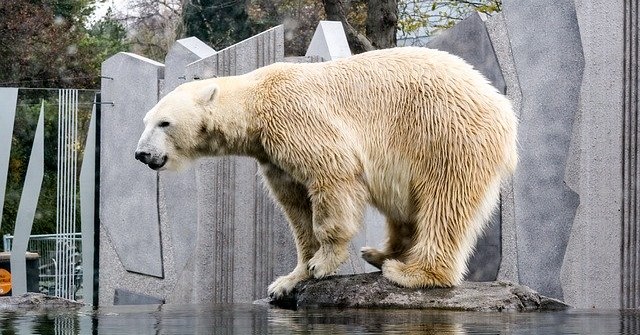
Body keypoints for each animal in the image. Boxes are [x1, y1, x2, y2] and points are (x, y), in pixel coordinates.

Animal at [136, 46, 520, 300]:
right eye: (146, 121)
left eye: (164, 122)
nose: (142, 154)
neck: (256, 102)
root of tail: (500, 103)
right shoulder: (273, 156)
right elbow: (296, 208)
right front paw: (288, 279)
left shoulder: (298, 121)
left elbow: (332, 179)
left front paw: (323, 264)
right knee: (404, 207)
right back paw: (380, 254)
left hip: (443, 132)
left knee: (445, 201)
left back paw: (412, 273)